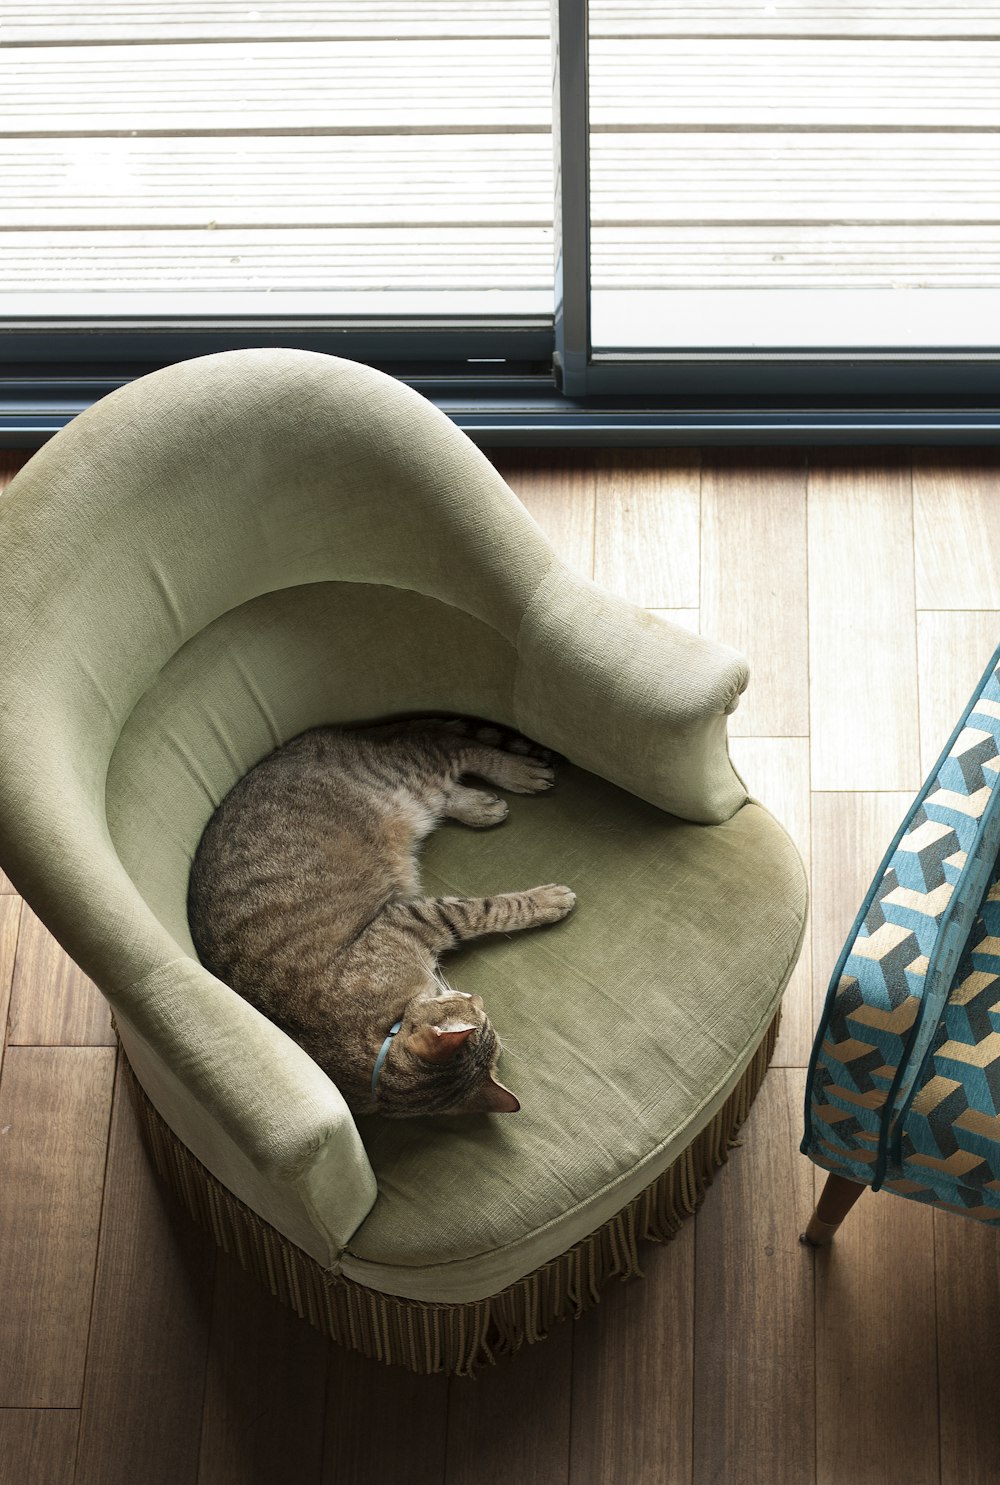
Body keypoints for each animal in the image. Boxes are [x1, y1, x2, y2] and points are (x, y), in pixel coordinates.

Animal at [189, 718, 576, 1116]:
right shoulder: (414, 917)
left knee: (455, 745)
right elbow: (484, 911)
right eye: (474, 1012)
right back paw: (484, 800)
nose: (478, 998)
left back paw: (518, 773)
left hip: (409, 773)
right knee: (447, 756)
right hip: (412, 789)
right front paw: (546, 901)